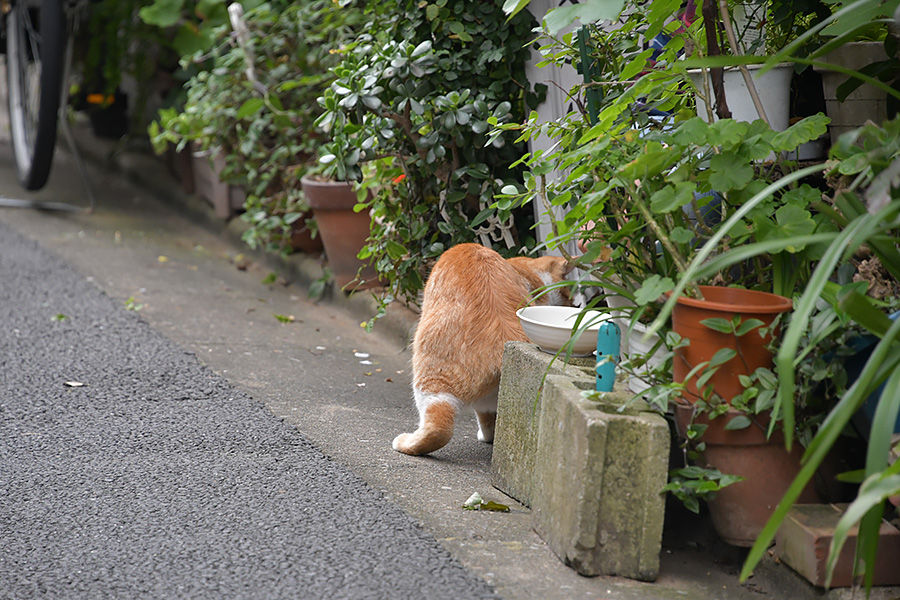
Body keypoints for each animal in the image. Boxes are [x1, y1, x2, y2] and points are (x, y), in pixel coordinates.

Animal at [392, 244, 572, 454]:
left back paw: (406, 442)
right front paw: (489, 437)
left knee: (439, 427)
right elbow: (488, 419)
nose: (575, 304)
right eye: (569, 293)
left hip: (431, 376)